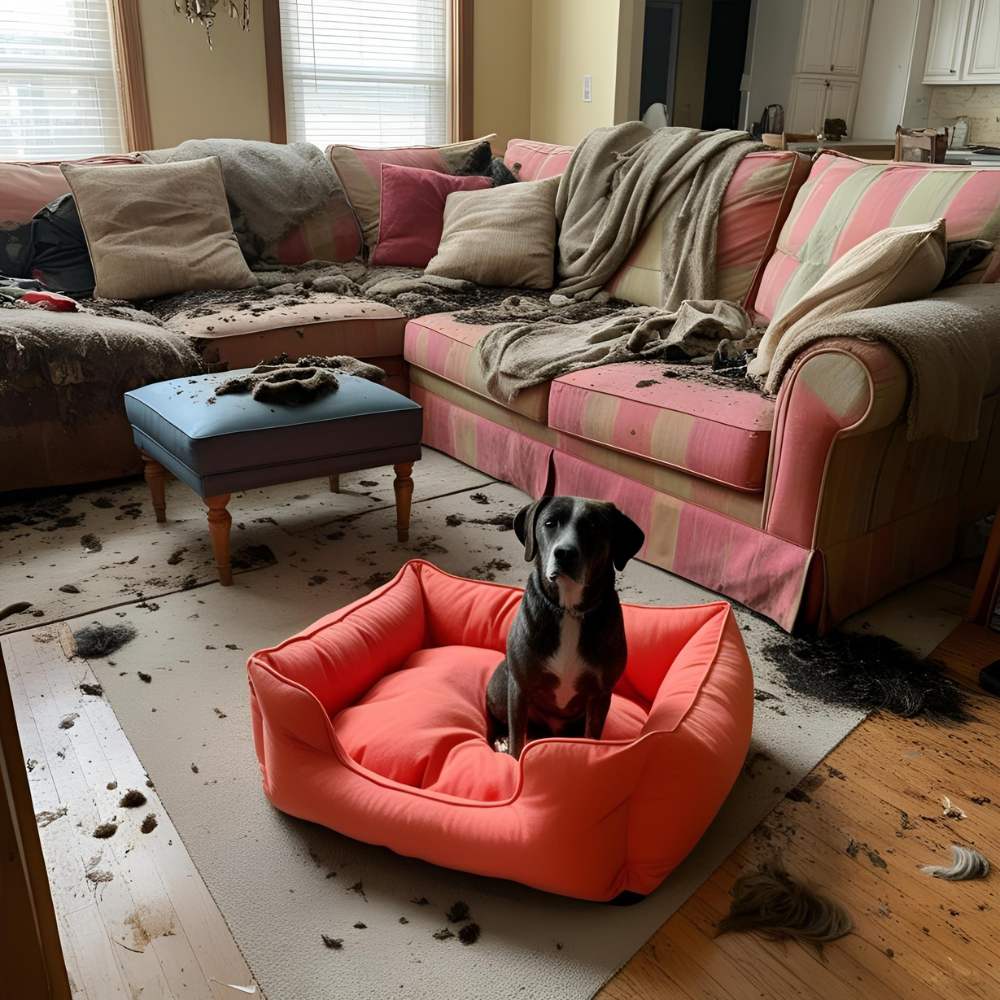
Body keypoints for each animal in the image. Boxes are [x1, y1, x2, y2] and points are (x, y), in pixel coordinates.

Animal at [486, 496, 645, 759]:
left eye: (593, 527)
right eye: (550, 523)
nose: (564, 553)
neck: (569, 612)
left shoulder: (600, 696)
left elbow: (591, 739)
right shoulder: (519, 689)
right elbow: (518, 740)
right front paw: (512, 758)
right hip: (501, 688)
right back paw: (501, 741)